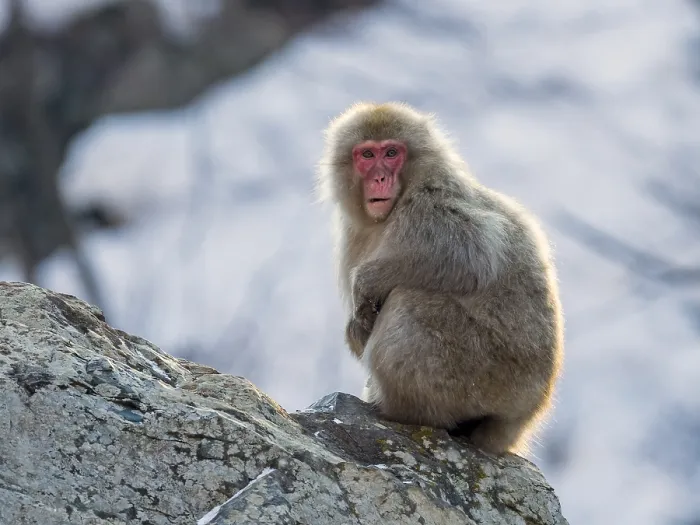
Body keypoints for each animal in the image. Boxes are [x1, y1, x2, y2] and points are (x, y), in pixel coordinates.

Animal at [316, 102, 564, 456]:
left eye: (391, 153)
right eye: (367, 155)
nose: (380, 177)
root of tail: (523, 417)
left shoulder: (429, 205)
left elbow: (473, 253)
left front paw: (367, 282)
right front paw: (356, 326)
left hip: (481, 374)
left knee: (409, 301)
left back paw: (402, 411)